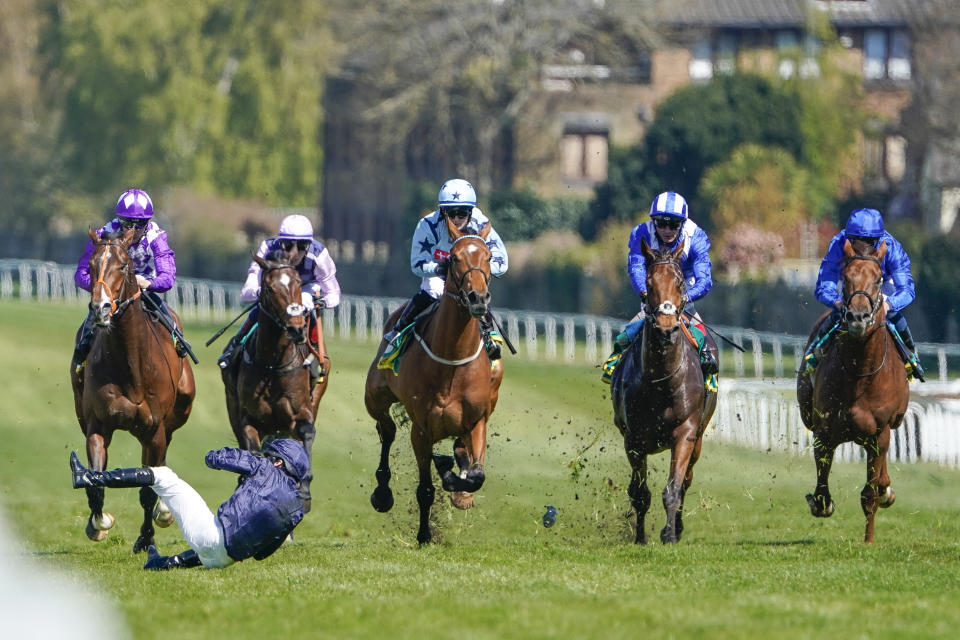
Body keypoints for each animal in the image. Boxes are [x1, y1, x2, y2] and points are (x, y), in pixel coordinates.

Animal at [70, 228, 196, 552]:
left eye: (123, 265)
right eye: (91, 265)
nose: (100, 308)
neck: (131, 365)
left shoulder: (155, 430)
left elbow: (148, 487)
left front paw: (145, 538)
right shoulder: (97, 425)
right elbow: (96, 479)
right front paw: (99, 524)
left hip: (173, 419)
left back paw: (164, 512)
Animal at [220, 254, 326, 510]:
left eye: (298, 284)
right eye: (269, 288)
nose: (296, 328)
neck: (273, 365)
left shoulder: (300, 413)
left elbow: (306, 433)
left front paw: (304, 490)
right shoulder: (248, 419)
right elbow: (254, 452)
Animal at [364, 218, 506, 544]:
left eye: (488, 257)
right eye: (454, 258)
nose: (478, 298)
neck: (452, 360)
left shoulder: (477, 420)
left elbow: (476, 475)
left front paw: (458, 483)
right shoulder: (422, 429)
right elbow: (425, 490)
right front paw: (424, 534)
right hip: (374, 396)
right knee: (386, 429)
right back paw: (382, 493)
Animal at [612, 240, 716, 544]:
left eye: (680, 282)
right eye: (649, 282)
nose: (666, 329)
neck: (660, 382)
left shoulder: (685, 433)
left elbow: (673, 490)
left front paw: (669, 534)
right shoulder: (633, 438)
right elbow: (639, 493)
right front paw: (639, 537)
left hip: (699, 438)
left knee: (686, 481)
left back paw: (677, 528)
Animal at [796, 238, 908, 544]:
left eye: (879, 278)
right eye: (846, 277)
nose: (857, 316)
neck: (860, 374)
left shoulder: (879, 433)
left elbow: (870, 493)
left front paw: (868, 540)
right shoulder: (824, 431)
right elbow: (822, 491)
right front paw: (820, 503)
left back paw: (886, 489)